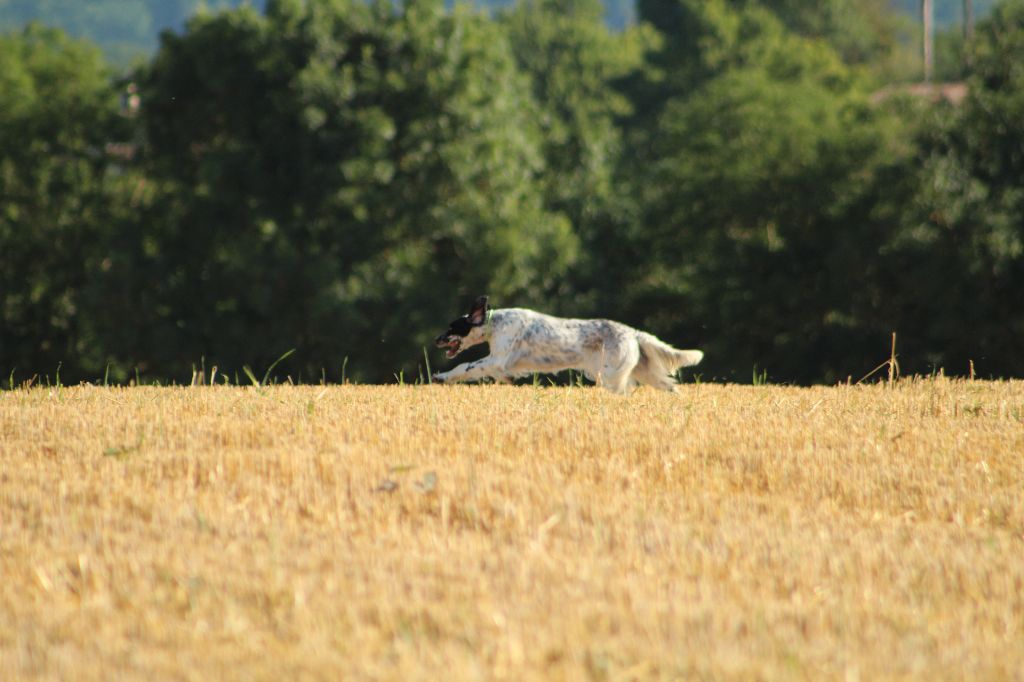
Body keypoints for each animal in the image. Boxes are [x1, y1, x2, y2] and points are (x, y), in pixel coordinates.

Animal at [432, 292, 704, 393]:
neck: (495, 322)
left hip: (611, 375)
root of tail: (633, 333)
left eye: (452, 327)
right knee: (670, 387)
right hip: (643, 372)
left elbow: (465, 367)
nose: (436, 340)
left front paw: (441, 377)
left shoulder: (496, 360)